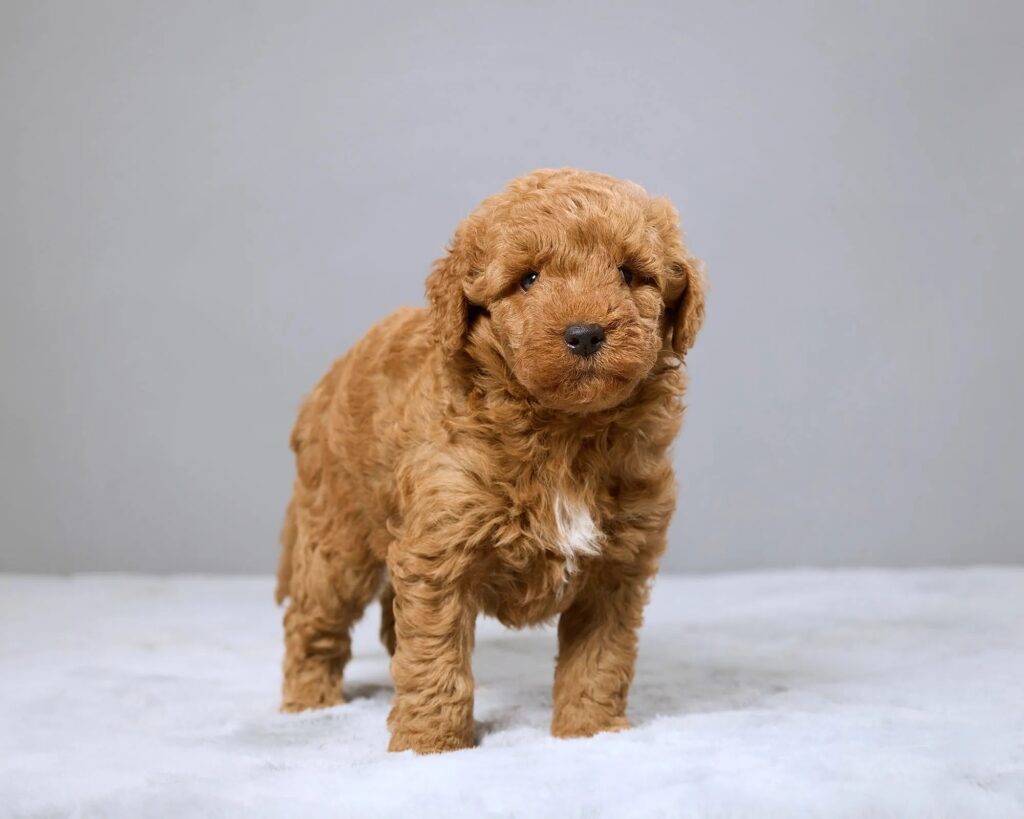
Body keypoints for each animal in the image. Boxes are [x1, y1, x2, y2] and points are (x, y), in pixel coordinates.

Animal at [276, 167, 708, 753]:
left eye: (628, 273)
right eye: (528, 279)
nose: (585, 334)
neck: (563, 432)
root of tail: (327, 380)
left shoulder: (618, 563)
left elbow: (600, 658)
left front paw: (590, 732)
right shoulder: (440, 547)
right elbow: (436, 656)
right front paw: (429, 746)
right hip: (337, 530)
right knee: (314, 617)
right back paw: (309, 703)